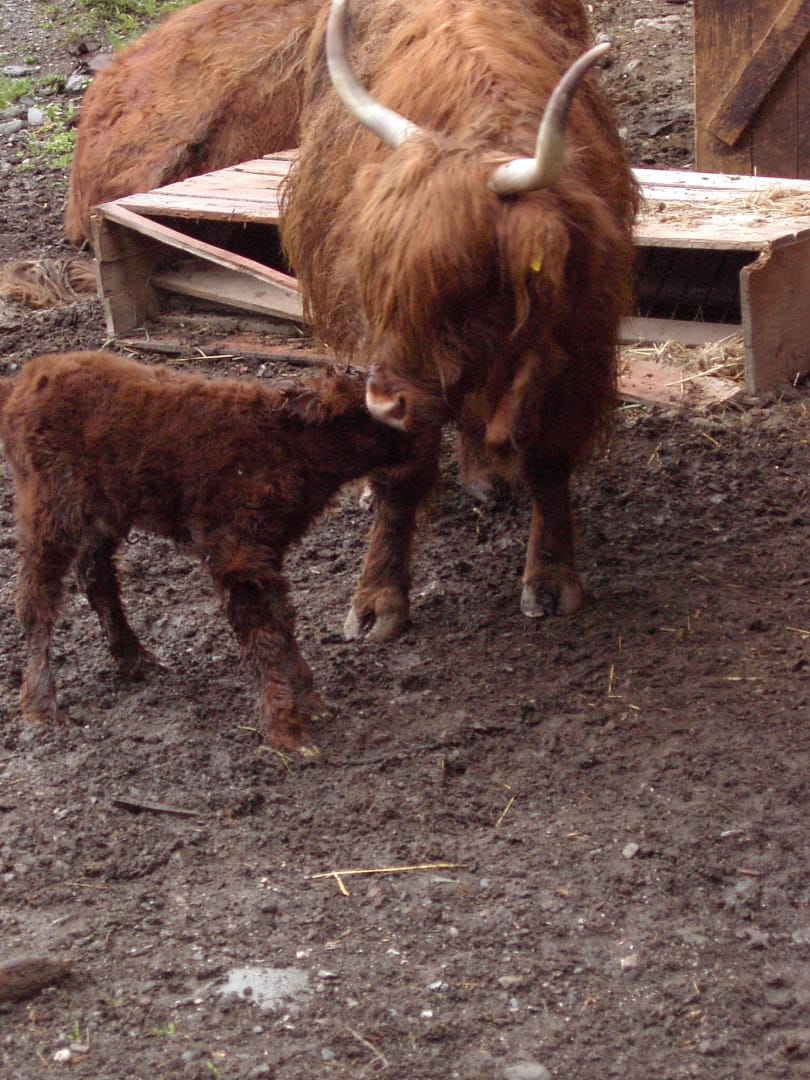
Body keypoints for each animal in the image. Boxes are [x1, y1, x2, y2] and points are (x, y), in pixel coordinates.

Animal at [0, 351, 412, 751]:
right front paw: (288, 732)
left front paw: (309, 700)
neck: (286, 443)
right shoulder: (236, 551)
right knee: (36, 597)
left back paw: (135, 660)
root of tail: (22, 383)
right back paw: (41, 706)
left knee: (96, 576)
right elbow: (262, 632)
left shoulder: (265, 551)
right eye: (376, 413)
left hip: (105, 511)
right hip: (50, 507)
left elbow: (281, 620)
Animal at [279, 0, 639, 642]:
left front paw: (551, 580)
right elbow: (401, 477)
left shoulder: (576, 351)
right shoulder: (393, 363)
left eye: (464, 286)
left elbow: (549, 463)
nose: (382, 404)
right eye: (380, 278)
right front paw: (377, 601)